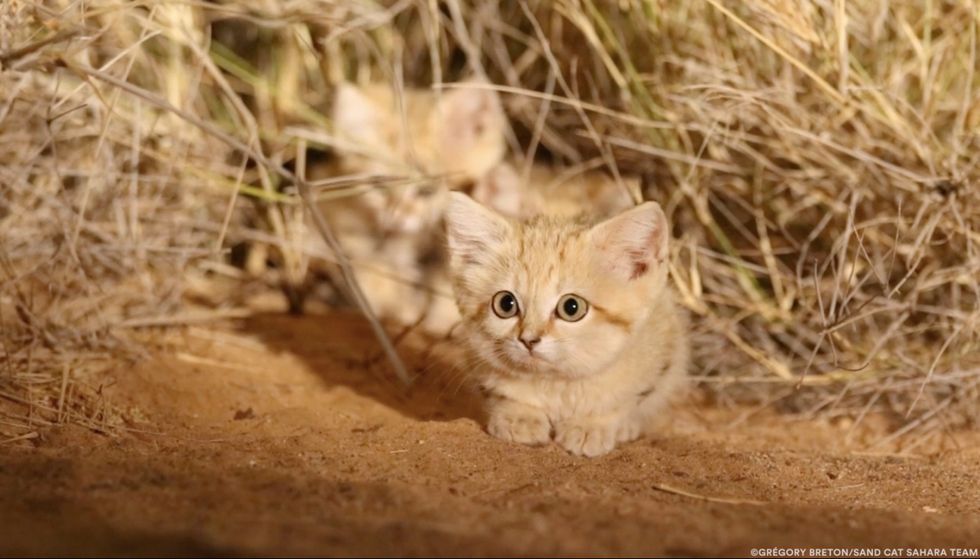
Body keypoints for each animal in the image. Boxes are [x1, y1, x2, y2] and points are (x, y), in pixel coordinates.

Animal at [446, 195, 688, 458]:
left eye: (571, 307)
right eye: (505, 304)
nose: (528, 340)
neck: (556, 383)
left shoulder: (661, 355)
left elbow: (624, 401)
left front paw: (591, 425)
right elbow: (504, 394)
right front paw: (519, 416)